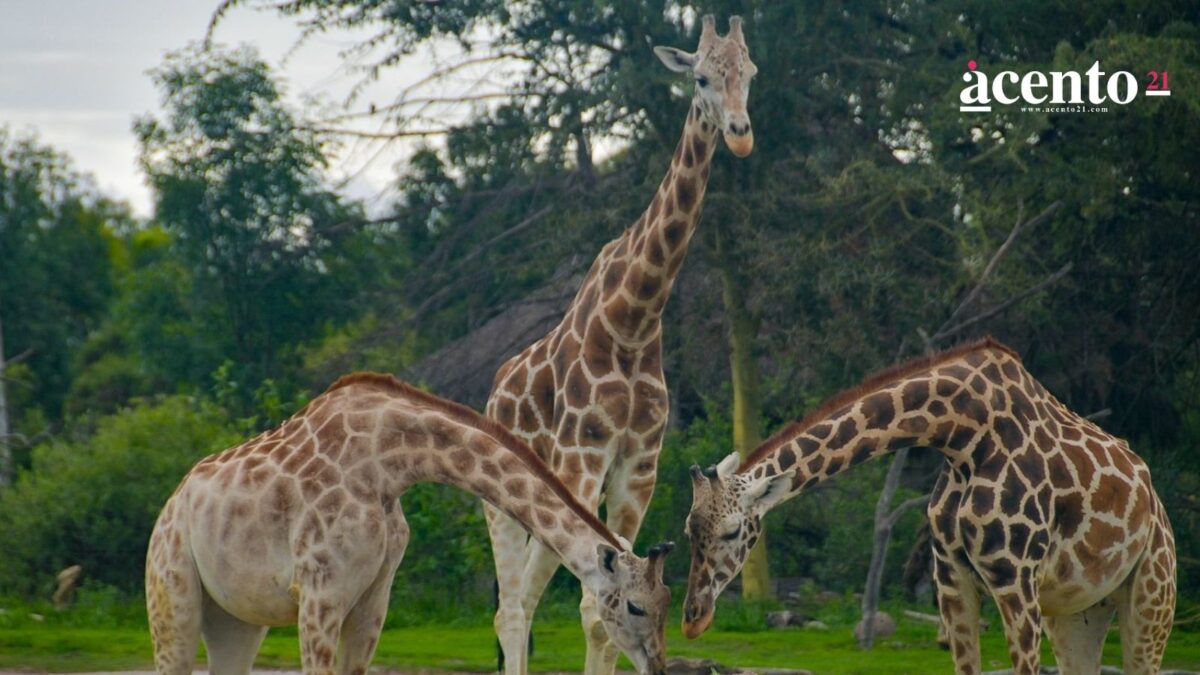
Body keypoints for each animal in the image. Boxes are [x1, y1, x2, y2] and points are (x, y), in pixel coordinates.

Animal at [145, 373, 674, 675]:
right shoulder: (318, 592)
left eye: (666, 602)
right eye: (635, 606)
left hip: (237, 618)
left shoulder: (373, 597)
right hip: (171, 590)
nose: (658, 666)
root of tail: (173, 501)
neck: (388, 462)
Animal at [484, 14, 757, 675]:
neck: (632, 322)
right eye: (702, 77)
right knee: (512, 607)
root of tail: (493, 393)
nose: (740, 136)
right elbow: (591, 605)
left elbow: (605, 614)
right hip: (501, 502)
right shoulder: (582, 463)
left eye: (750, 73)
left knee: (523, 599)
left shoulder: (637, 470)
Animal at [680, 338, 1176, 675]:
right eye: (688, 532)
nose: (692, 620)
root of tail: (1158, 508)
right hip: (1078, 612)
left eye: (731, 532)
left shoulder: (1016, 579)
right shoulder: (952, 579)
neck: (962, 437)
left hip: (1152, 597)